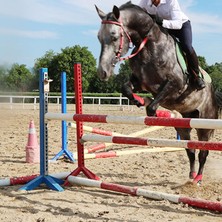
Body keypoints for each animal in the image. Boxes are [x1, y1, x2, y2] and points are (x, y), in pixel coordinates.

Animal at [95, 1, 222, 184]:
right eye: (99, 37)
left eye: (114, 36)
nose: (102, 72)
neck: (150, 44)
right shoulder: (141, 83)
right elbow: (126, 89)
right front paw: (140, 101)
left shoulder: (174, 85)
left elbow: (152, 107)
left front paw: (151, 109)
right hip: (184, 125)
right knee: (190, 150)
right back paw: (191, 176)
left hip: (205, 124)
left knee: (203, 152)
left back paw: (198, 179)